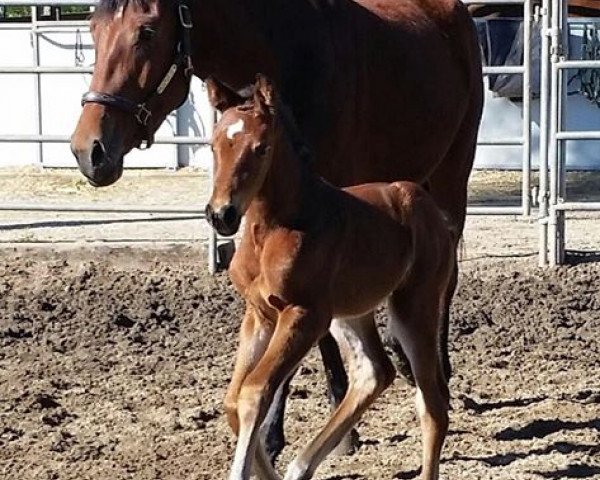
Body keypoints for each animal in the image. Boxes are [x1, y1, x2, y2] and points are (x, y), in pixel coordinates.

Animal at [206, 77, 454, 480]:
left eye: (261, 148)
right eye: (213, 145)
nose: (221, 215)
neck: (272, 230)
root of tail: (430, 209)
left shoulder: (303, 314)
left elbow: (255, 392)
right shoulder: (259, 314)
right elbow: (232, 400)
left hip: (413, 307)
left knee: (433, 407)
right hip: (348, 314)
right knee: (374, 372)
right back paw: (299, 468)